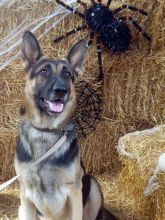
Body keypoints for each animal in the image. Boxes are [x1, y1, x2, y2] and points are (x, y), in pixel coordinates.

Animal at [14, 30, 117, 220]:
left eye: (67, 74)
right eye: (44, 71)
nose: (61, 91)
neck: (46, 131)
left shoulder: (74, 192)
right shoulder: (26, 196)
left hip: (93, 186)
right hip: (21, 209)